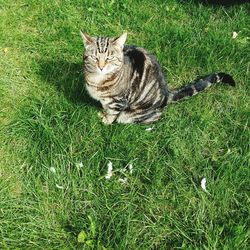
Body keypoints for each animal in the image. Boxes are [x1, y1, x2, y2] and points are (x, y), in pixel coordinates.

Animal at [80, 31, 234, 124]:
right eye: (94, 57)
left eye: (109, 58)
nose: (101, 67)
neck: (97, 80)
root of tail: (166, 94)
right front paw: (102, 113)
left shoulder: (118, 101)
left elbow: (112, 113)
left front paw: (106, 120)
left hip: (134, 115)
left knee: (154, 116)